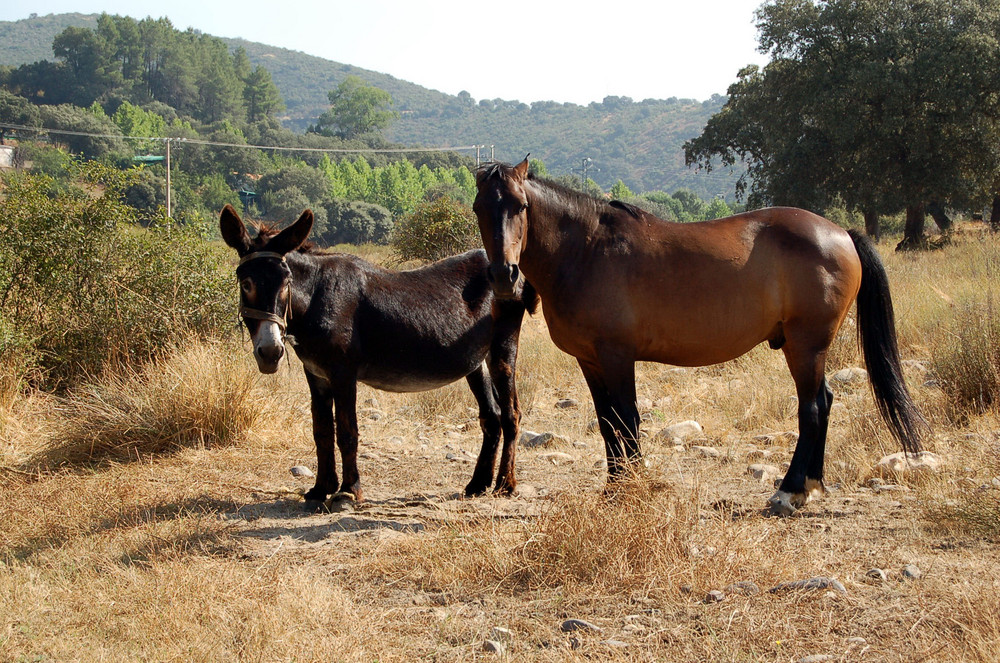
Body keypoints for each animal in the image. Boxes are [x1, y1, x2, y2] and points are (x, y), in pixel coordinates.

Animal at [472, 158, 924, 516]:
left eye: (521, 206)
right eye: (479, 208)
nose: (503, 275)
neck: (586, 250)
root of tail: (842, 233)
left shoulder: (617, 356)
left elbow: (628, 422)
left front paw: (633, 490)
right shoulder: (590, 360)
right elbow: (607, 424)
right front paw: (614, 489)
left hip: (805, 346)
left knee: (811, 409)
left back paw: (788, 491)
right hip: (811, 349)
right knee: (825, 402)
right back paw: (810, 486)